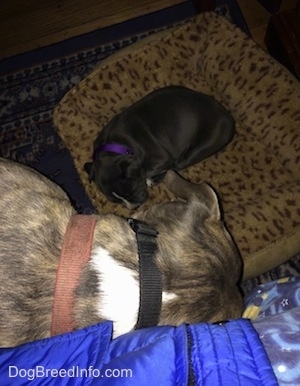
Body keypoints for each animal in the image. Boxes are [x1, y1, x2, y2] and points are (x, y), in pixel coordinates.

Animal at [84, 86, 234, 210]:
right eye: (115, 201)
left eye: (132, 191)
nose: (134, 207)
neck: (115, 145)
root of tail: (226, 115)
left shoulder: (161, 158)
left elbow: (146, 170)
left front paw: (149, 178)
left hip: (202, 145)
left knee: (176, 165)